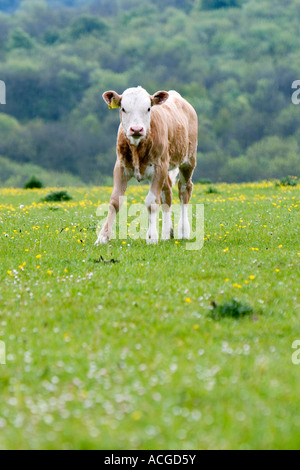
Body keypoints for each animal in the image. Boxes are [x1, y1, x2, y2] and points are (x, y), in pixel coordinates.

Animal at [96, 86, 198, 246]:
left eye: (148, 108)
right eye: (123, 108)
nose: (136, 129)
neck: (137, 148)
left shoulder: (158, 169)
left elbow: (151, 202)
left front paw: (152, 237)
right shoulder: (120, 168)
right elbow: (114, 201)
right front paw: (103, 237)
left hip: (188, 161)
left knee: (184, 191)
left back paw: (183, 231)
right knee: (167, 195)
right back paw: (166, 234)